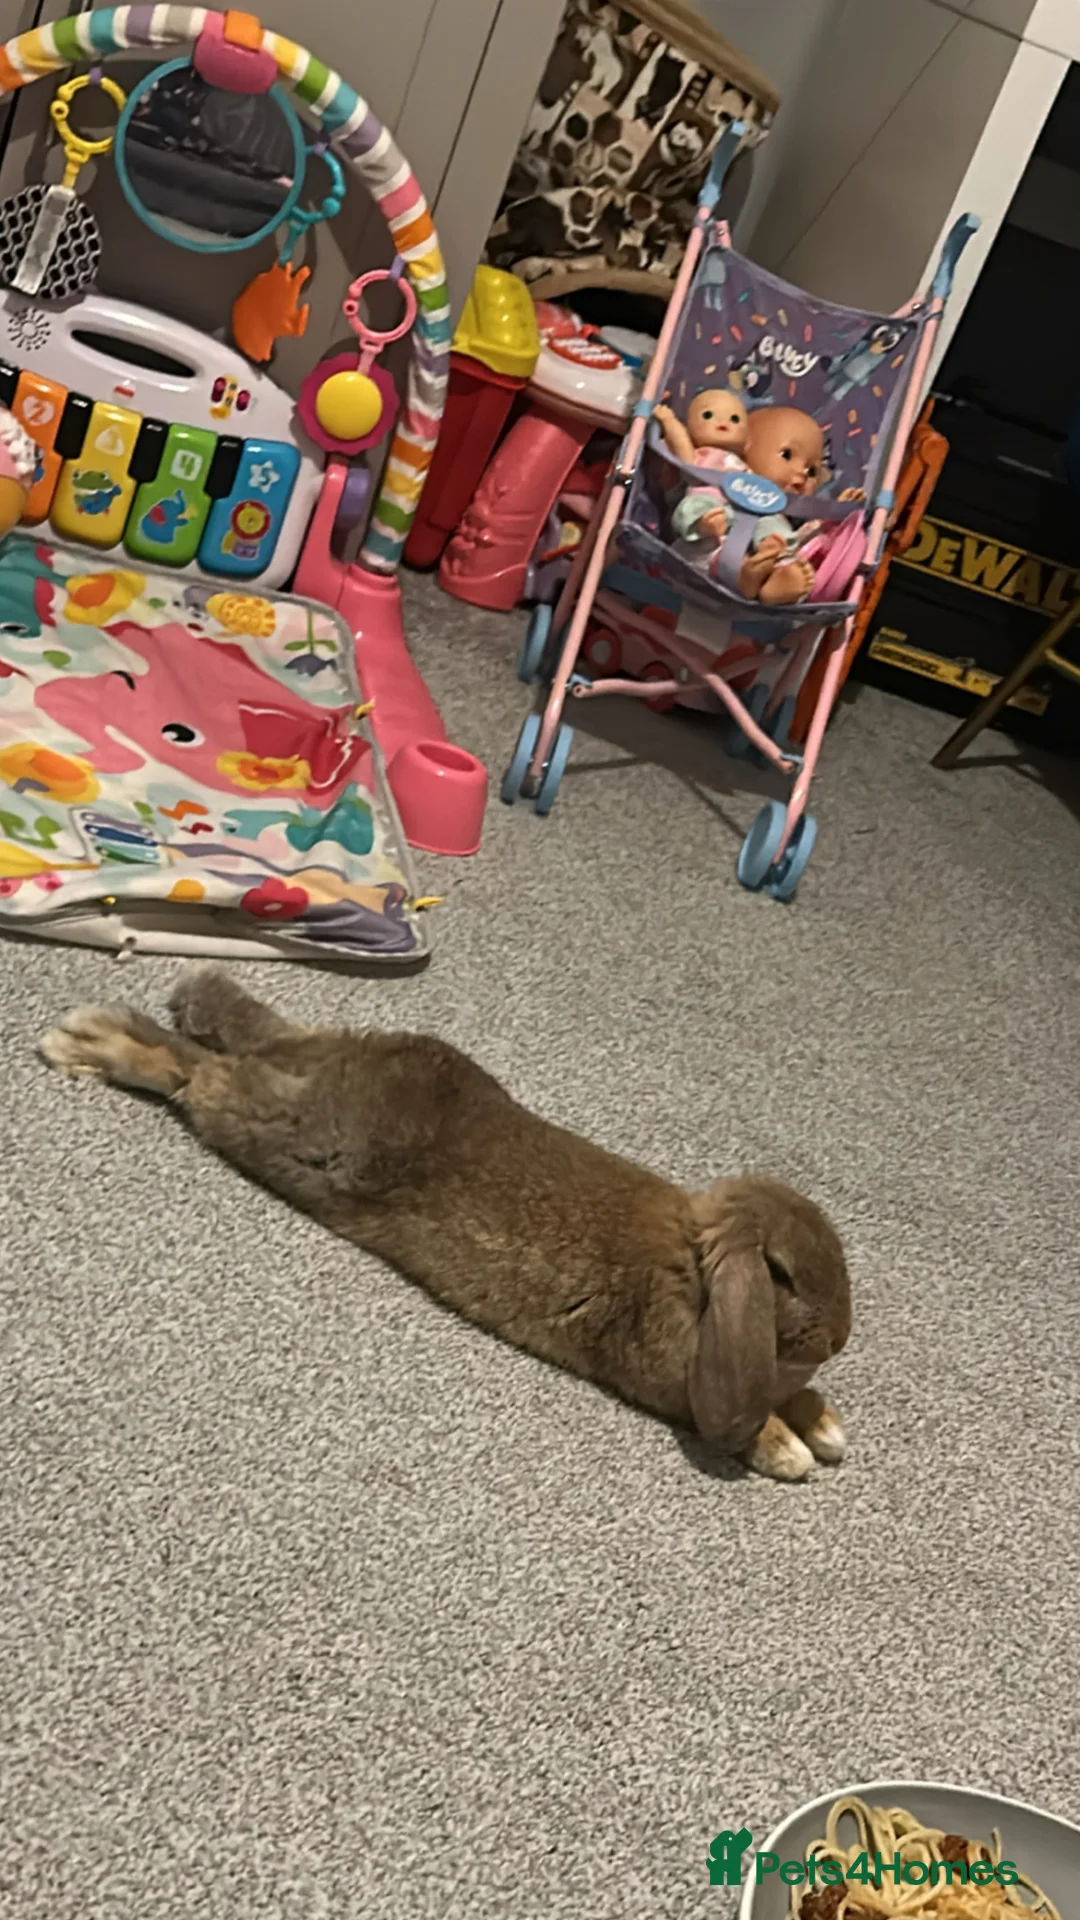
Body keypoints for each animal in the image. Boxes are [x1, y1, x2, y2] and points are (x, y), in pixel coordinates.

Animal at [39, 969, 851, 1481]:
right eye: (782, 1274)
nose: (837, 1341)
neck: (696, 1267)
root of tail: (338, 1060)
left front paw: (823, 1424)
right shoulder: (668, 1362)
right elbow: (732, 1409)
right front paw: (785, 1449)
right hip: (294, 1142)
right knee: (197, 1076)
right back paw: (88, 1042)